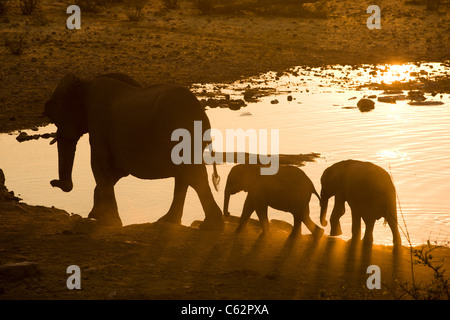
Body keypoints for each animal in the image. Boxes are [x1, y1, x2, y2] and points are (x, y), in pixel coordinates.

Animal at [44, 73, 223, 229]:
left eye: (55, 117)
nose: (52, 182)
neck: (85, 83)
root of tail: (202, 117)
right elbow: (116, 170)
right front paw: (96, 215)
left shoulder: (98, 124)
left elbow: (99, 165)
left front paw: (108, 223)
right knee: (185, 175)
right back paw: (168, 221)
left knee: (193, 174)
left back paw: (210, 226)